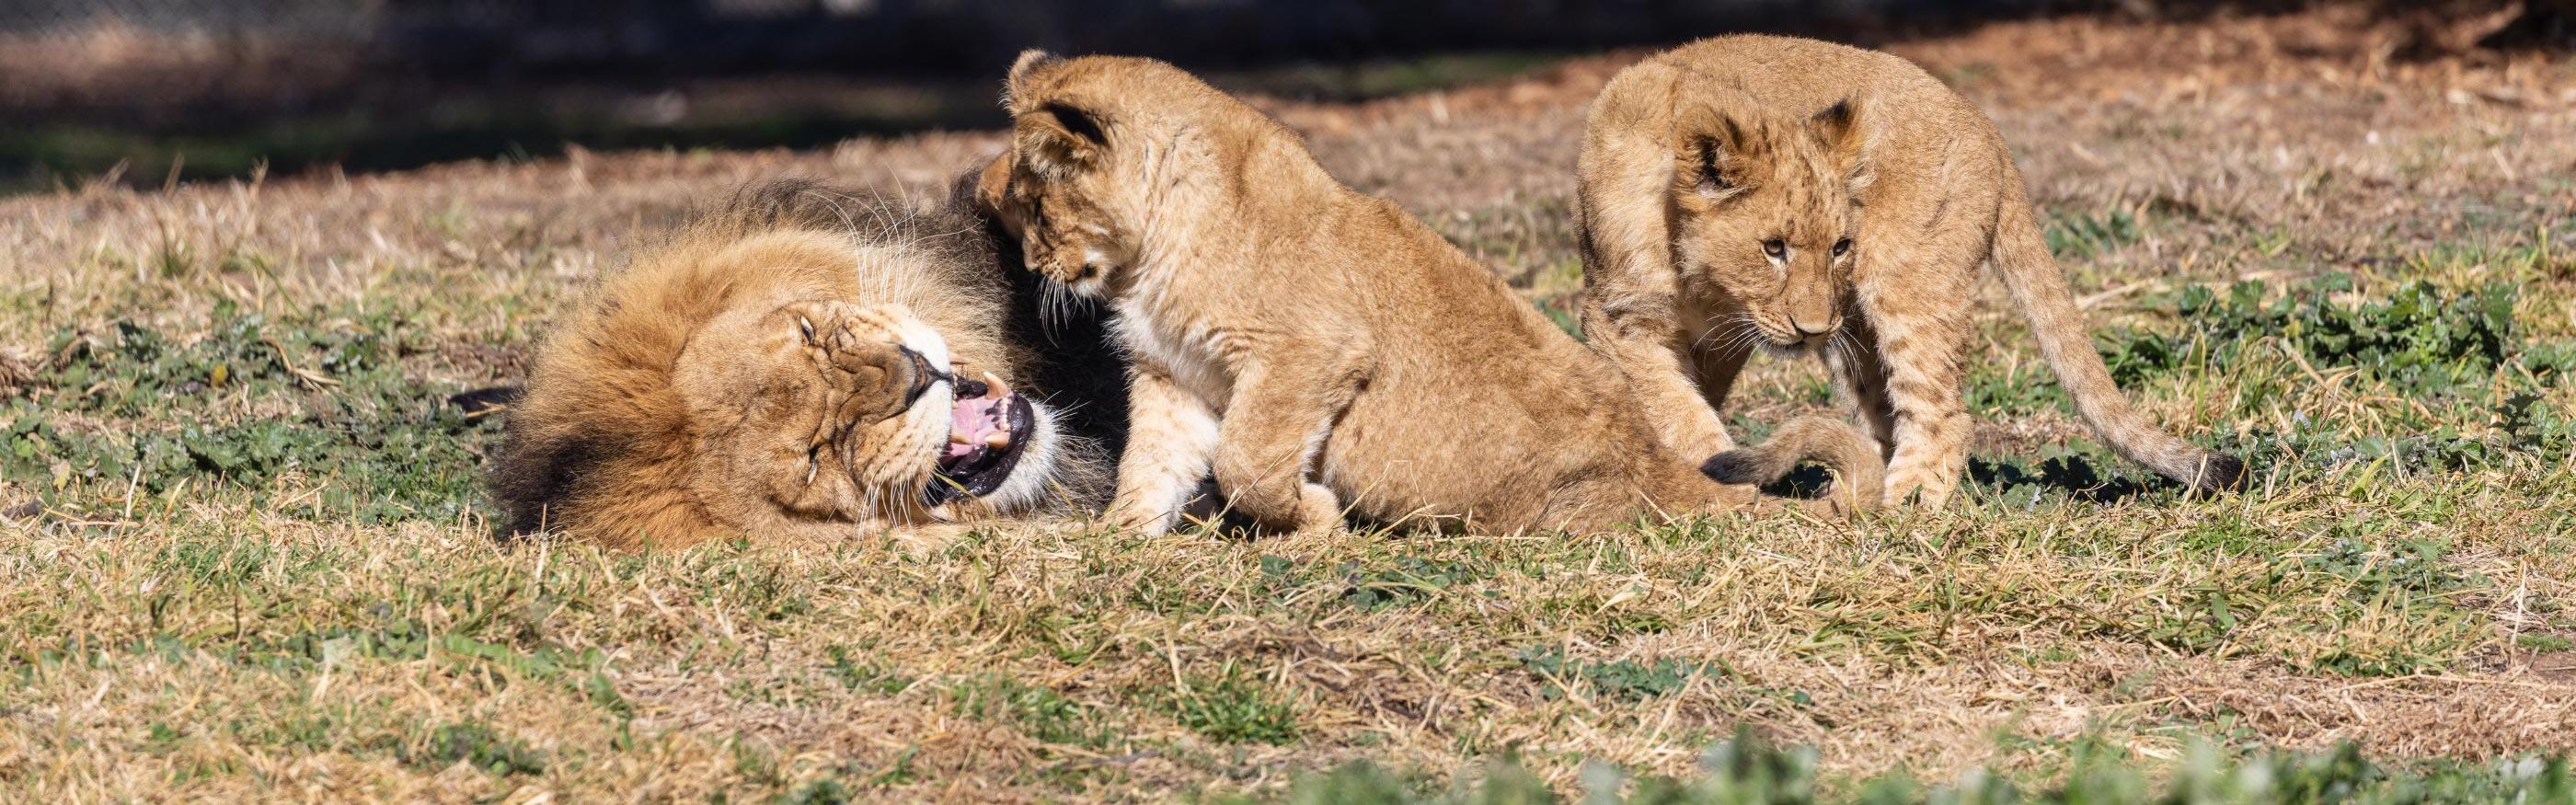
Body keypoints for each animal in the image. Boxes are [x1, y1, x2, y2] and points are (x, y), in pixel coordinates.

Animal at [974, 51, 1880, 537]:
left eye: (1033, 201)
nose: (1000, 220)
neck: (1149, 253)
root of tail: (1659, 462)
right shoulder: (1173, 375)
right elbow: (1152, 463)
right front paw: (1121, 541)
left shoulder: (1310, 352)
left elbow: (1246, 462)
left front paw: (1312, 520)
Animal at [1577, 34, 2246, 509]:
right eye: (1774, 248)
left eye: (1839, 246)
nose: (1811, 328)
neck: (1694, 273)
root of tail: (1988, 129)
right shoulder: (1625, 318)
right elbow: (1678, 402)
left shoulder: (1717, 331)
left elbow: (1681, 410)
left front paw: (1720, 481)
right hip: (1854, 331)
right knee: (1882, 411)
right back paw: (1853, 485)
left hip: (1904, 286)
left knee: (1943, 409)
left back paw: (1909, 498)